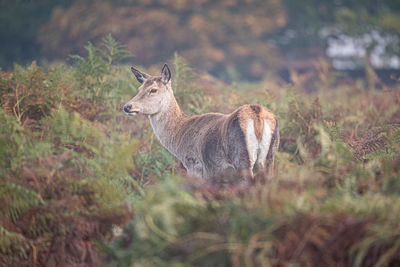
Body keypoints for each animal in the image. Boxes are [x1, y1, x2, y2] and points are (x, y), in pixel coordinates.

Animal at [123, 64, 280, 180]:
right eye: (139, 88)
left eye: (153, 90)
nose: (127, 106)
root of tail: (257, 114)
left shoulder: (194, 164)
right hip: (269, 158)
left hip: (242, 159)